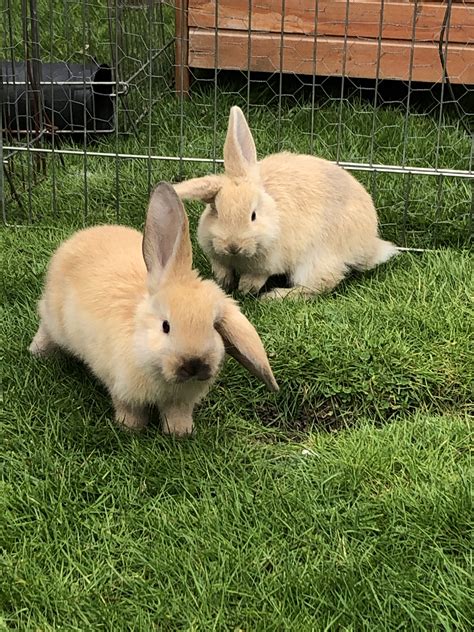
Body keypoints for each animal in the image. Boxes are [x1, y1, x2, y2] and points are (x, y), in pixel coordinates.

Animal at [29, 181, 280, 434]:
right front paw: (130, 428)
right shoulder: (122, 389)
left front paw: (180, 433)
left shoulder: (180, 402)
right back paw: (37, 352)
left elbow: (176, 415)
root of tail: (78, 238)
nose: (194, 364)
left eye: (213, 326)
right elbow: (129, 409)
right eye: (165, 326)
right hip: (54, 319)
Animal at [174, 105, 400, 300]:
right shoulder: (217, 257)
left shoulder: (270, 263)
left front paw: (246, 289)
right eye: (216, 212)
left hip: (318, 260)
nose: (233, 245)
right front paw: (225, 283)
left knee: (318, 285)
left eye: (253, 215)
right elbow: (222, 269)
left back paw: (273, 296)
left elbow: (257, 276)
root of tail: (369, 244)